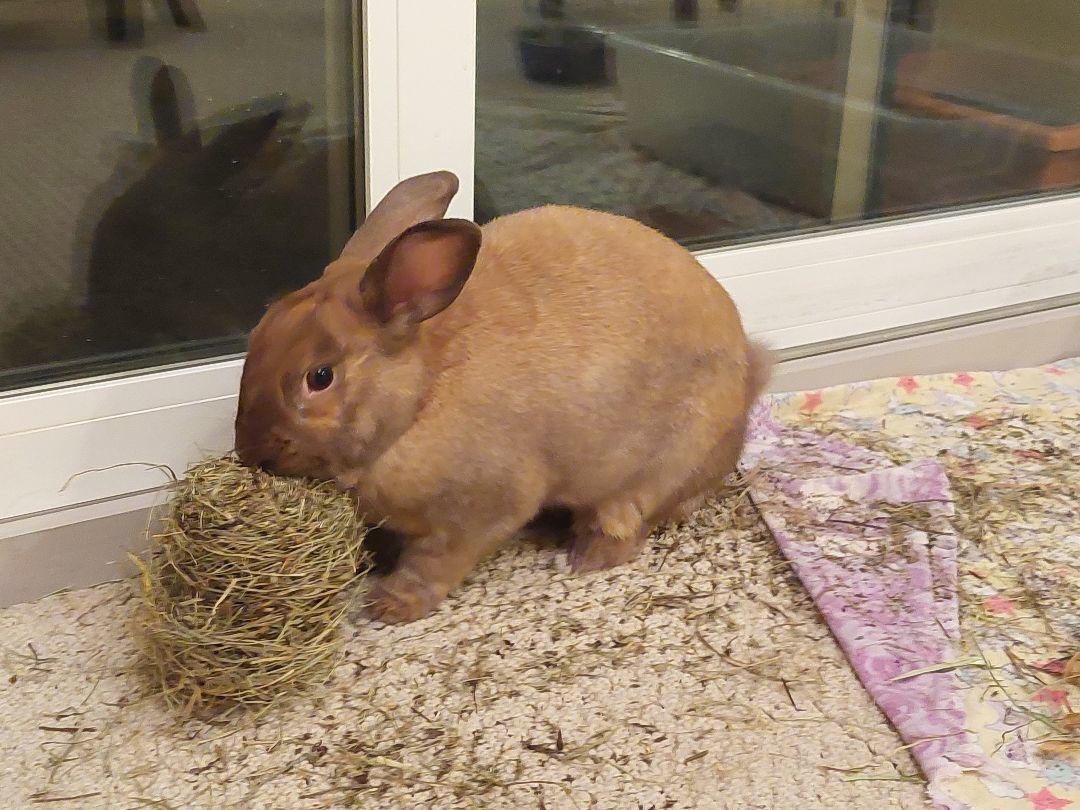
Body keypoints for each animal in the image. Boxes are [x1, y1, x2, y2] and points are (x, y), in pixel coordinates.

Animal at [234, 171, 773, 624]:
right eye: (258, 335)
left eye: (320, 377)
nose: (249, 452)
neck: (421, 399)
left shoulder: (478, 513)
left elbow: (434, 561)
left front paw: (388, 605)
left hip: (650, 474)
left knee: (626, 526)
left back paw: (583, 558)